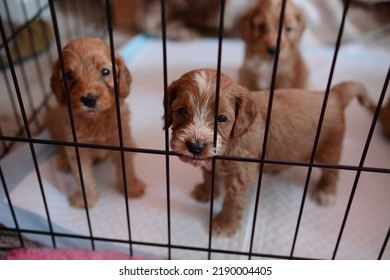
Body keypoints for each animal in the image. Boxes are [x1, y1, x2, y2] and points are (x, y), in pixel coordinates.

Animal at [44, 37, 145, 208]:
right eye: (68, 75)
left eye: (105, 72)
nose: (89, 99)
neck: (95, 119)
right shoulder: (77, 149)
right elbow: (82, 177)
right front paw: (84, 198)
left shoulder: (121, 139)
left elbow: (127, 166)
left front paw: (132, 187)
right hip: (53, 121)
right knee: (59, 146)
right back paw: (63, 162)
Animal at [166, 69, 374, 235]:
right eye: (181, 111)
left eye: (222, 118)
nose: (196, 147)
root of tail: (334, 95)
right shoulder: (210, 162)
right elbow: (209, 176)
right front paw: (205, 192)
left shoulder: (240, 175)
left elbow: (233, 202)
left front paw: (225, 225)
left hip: (329, 149)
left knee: (332, 172)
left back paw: (326, 192)